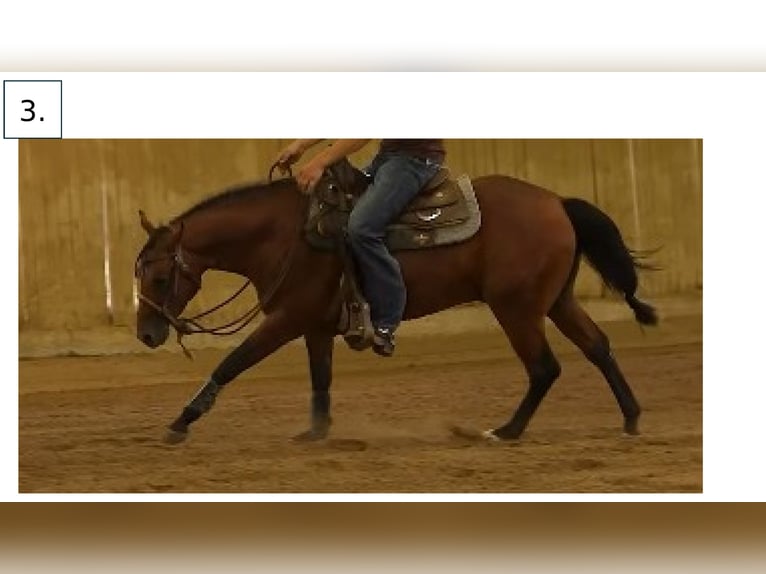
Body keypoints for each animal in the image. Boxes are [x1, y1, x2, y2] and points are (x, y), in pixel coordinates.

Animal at [134, 161, 657, 445]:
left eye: (159, 277)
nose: (146, 333)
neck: (284, 236)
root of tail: (557, 202)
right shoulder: (315, 326)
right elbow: (320, 378)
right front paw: (317, 432)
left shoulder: (286, 319)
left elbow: (231, 363)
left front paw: (180, 422)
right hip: (556, 301)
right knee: (598, 347)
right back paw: (631, 418)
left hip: (517, 308)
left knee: (545, 367)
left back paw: (505, 431)